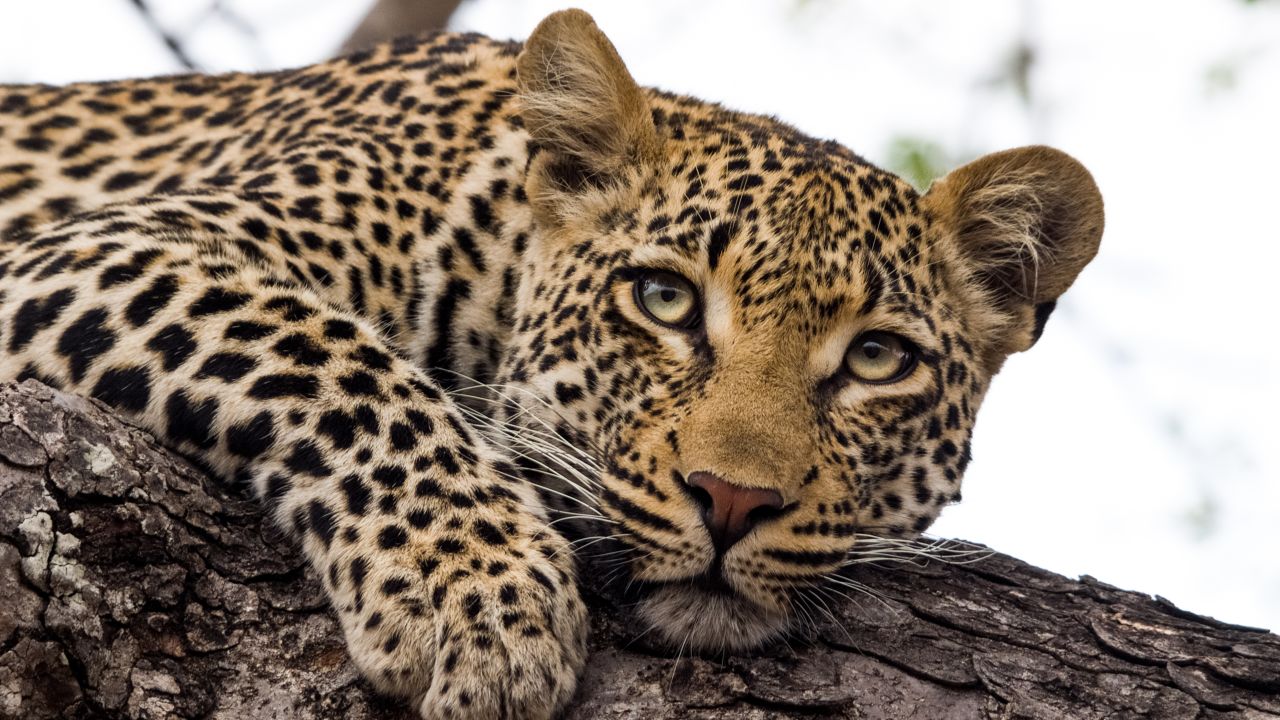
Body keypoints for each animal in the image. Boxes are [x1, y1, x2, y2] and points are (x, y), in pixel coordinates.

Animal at [0, 8, 1103, 719]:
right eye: (663, 300)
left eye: (877, 357)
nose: (732, 500)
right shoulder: (105, 244)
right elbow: (333, 357)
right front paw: (479, 600)